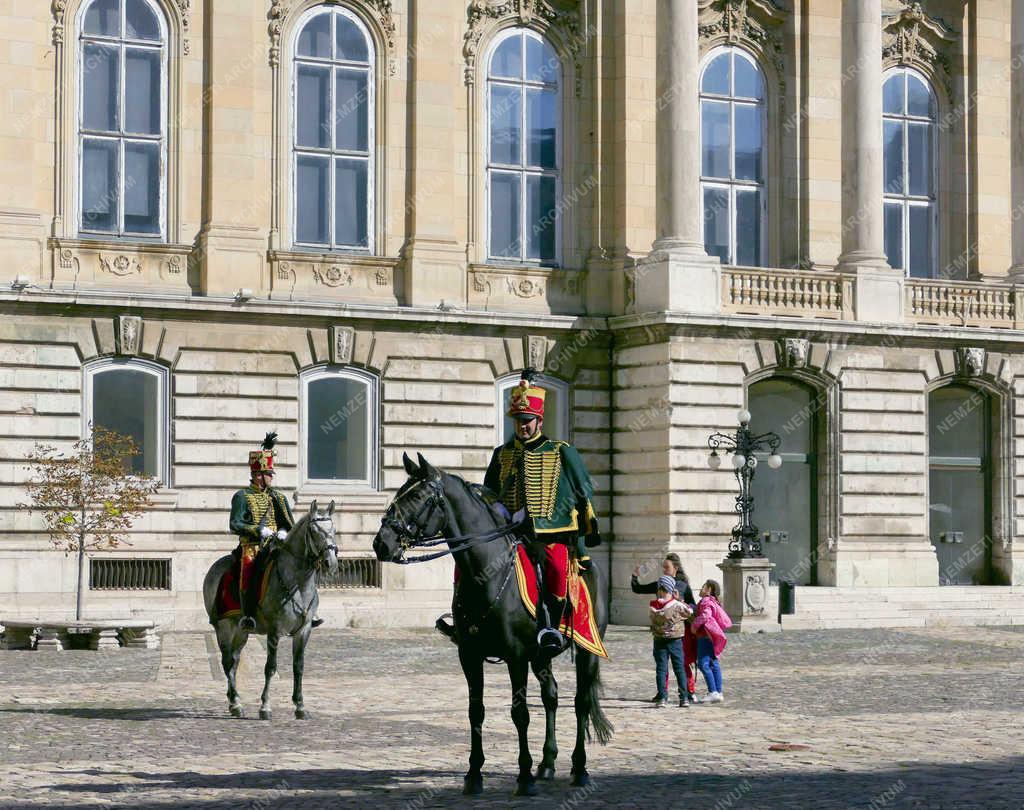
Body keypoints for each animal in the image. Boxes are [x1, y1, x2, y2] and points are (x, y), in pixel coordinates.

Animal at [201, 499, 337, 720]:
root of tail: (215, 567)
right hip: (224, 628)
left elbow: (298, 667)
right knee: (227, 662)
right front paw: (265, 707)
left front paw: (300, 706)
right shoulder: (275, 631)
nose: (330, 563)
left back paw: (233, 701)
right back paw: (235, 702)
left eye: (333, 529)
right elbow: (270, 667)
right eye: (314, 531)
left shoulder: (304, 630)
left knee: (235, 661)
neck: (297, 583)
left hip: (241, 631)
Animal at [370, 456, 606, 798]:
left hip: (587, 649)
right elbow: (476, 711)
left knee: (581, 702)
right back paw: (548, 763)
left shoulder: (516, 656)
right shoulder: (470, 656)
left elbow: (520, 714)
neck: (486, 573)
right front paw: (474, 774)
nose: (381, 544)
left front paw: (523, 777)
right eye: (398, 494)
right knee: (551, 696)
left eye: (418, 498)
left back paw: (579, 768)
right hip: (541, 655)